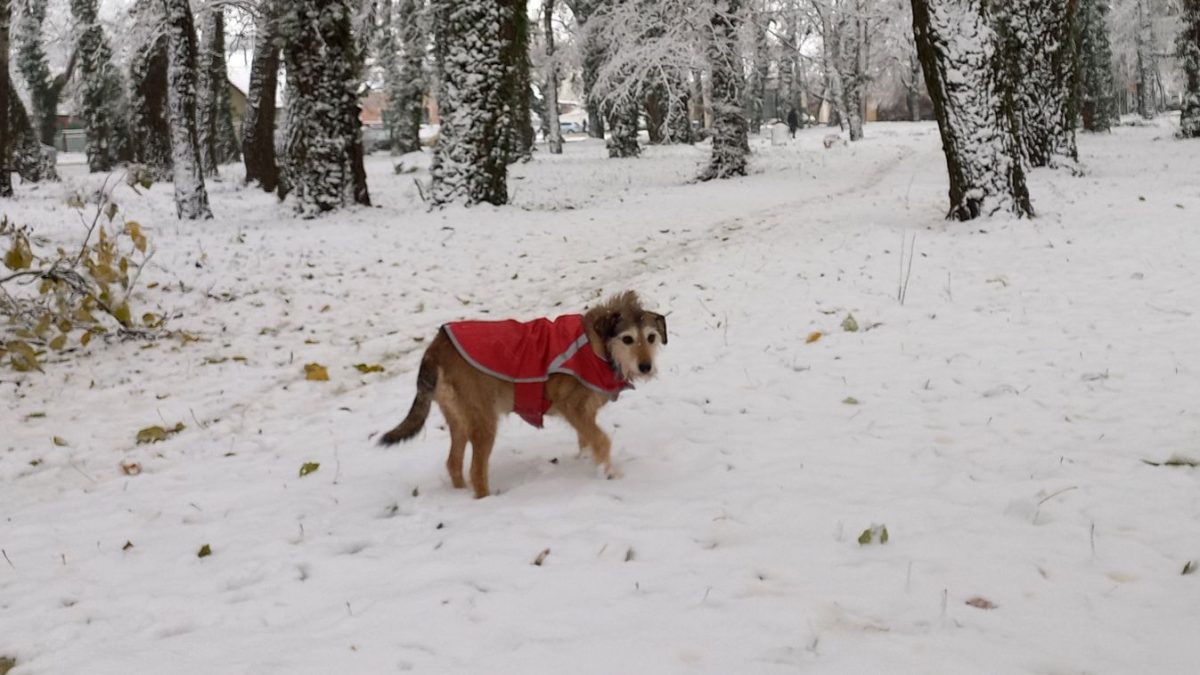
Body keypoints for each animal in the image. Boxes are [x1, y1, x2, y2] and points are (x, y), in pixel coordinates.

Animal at [379, 291, 667, 497]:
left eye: (651, 337)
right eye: (627, 339)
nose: (646, 366)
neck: (599, 347)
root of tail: (435, 347)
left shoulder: (584, 415)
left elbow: (587, 441)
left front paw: (587, 462)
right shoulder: (572, 407)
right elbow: (602, 440)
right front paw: (609, 473)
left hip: (459, 419)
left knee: (453, 463)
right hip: (484, 421)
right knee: (476, 471)